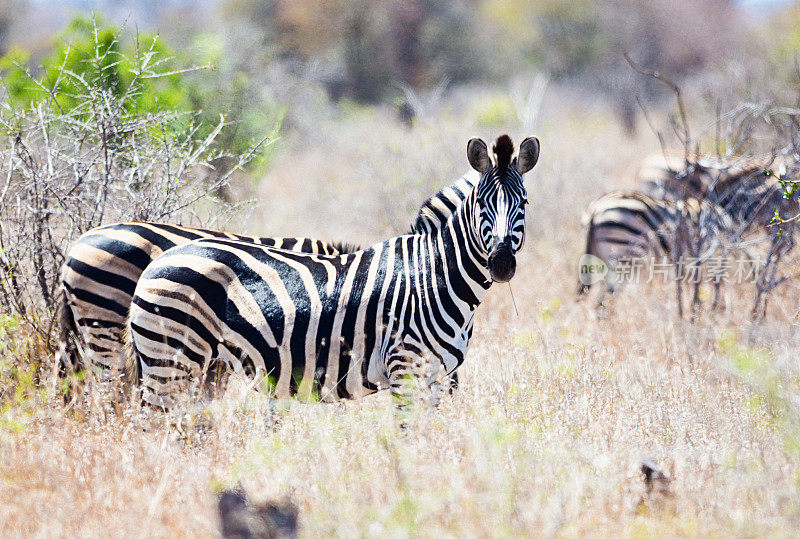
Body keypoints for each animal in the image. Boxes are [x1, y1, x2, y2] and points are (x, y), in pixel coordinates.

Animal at [125, 135, 540, 410]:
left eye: (523, 203)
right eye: (481, 204)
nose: (501, 264)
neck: (433, 277)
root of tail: (158, 261)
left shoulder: (437, 378)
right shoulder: (406, 369)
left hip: (198, 367)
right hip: (170, 358)